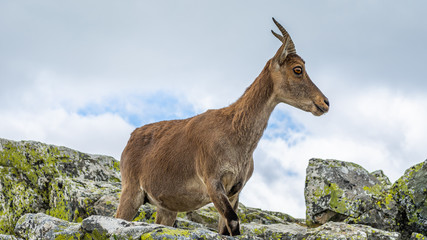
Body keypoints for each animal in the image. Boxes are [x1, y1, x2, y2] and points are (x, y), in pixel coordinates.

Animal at [115, 17, 330, 235]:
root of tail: (131, 138)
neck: (234, 132)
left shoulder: (235, 191)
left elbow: (226, 228)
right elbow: (233, 221)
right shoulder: (213, 182)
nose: (325, 102)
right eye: (297, 69)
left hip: (166, 207)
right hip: (132, 191)